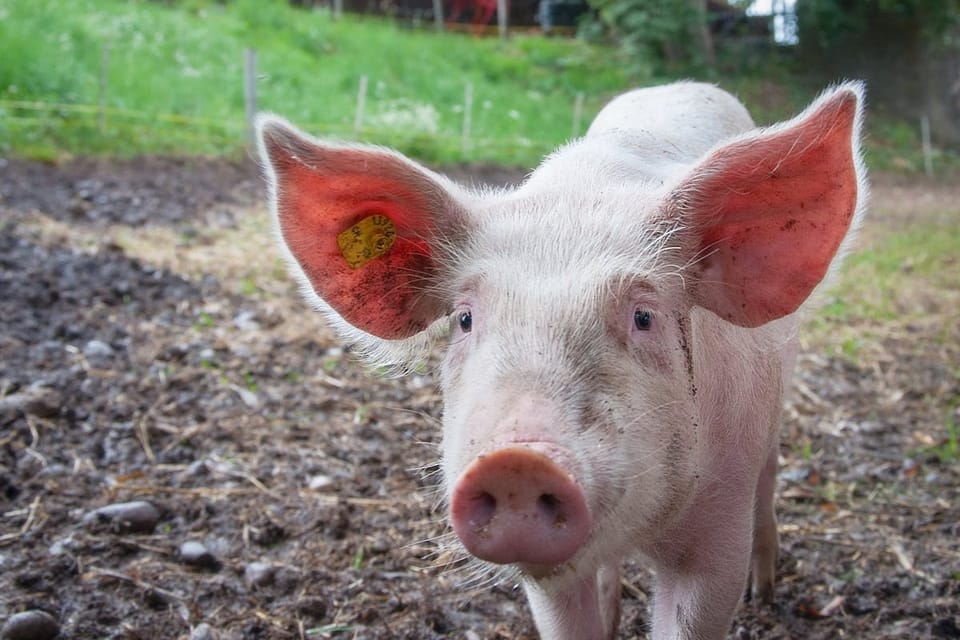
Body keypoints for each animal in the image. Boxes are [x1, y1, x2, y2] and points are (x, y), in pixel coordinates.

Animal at [256, 80, 866, 639]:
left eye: (644, 316)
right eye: (464, 319)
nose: (517, 463)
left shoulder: (718, 532)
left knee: (770, 477)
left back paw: (767, 593)